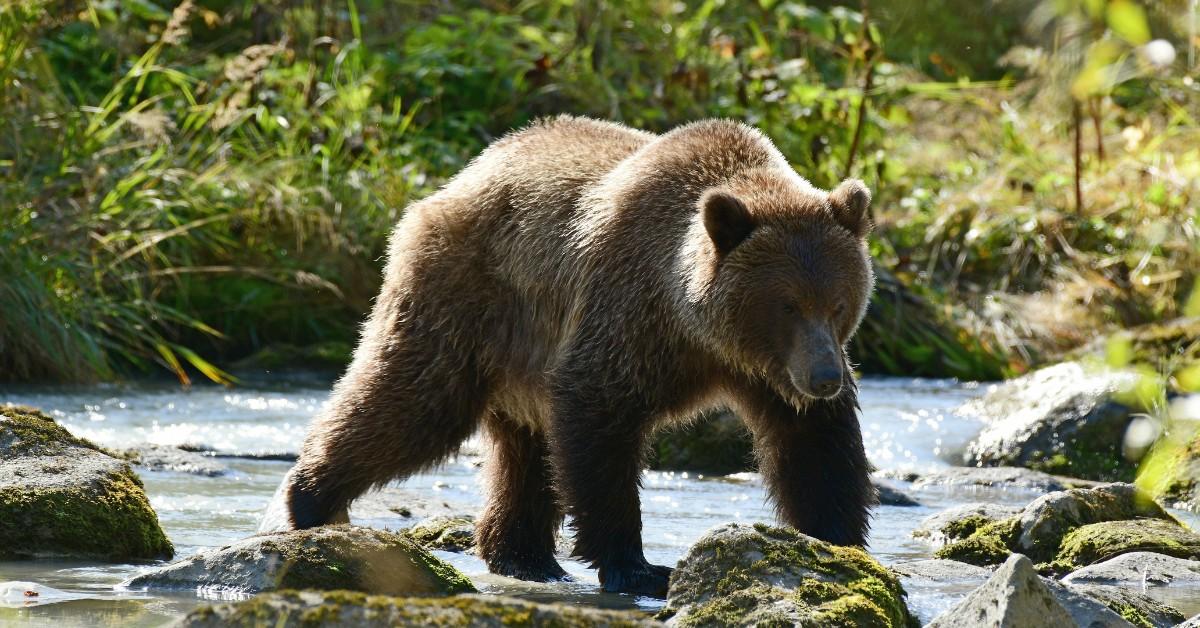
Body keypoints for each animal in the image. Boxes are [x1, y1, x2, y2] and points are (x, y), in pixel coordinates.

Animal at [281, 115, 877, 598]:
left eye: (838, 303)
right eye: (787, 304)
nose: (825, 377)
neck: (698, 328)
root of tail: (459, 180)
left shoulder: (767, 372)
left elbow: (813, 445)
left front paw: (838, 544)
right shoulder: (629, 314)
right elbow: (599, 417)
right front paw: (639, 567)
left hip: (518, 353)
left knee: (523, 450)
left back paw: (523, 556)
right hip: (468, 298)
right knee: (413, 402)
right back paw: (310, 499)